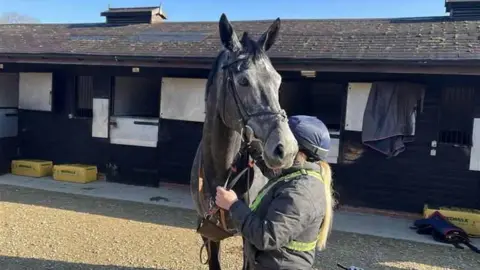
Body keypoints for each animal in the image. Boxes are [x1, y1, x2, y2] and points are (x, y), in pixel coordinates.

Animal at [190, 13, 296, 268]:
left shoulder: (249, 237)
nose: (285, 149)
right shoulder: (209, 233)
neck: (221, 172)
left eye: (278, 80)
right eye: (243, 81)